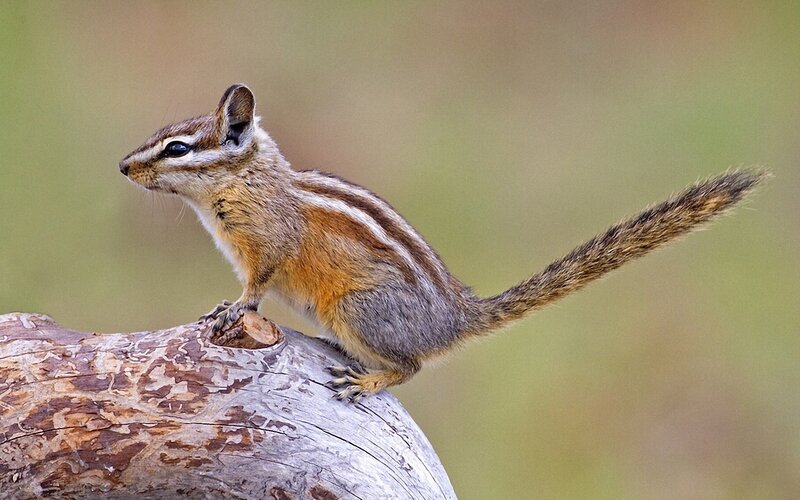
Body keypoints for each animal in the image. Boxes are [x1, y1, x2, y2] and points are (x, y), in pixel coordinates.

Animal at [119, 84, 767, 402]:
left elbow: (257, 284)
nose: (123, 167)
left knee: (412, 367)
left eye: (177, 148)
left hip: (358, 308)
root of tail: (454, 317)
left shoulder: (268, 245)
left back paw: (369, 380)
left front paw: (232, 308)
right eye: (162, 136)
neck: (248, 179)